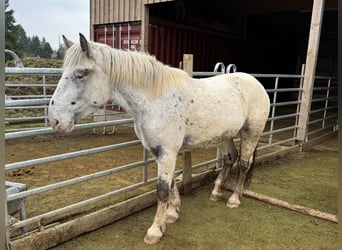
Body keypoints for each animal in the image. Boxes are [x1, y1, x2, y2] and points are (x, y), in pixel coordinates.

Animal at [49, 33, 272, 244]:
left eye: (80, 74)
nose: (55, 120)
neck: (155, 99)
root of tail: (255, 82)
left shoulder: (167, 153)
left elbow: (162, 190)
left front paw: (155, 231)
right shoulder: (160, 152)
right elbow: (171, 184)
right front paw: (172, 214)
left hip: (251, 133)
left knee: (244, 164)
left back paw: (234, 199)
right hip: (225, 135)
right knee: (229, 159)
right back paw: (216, 193)